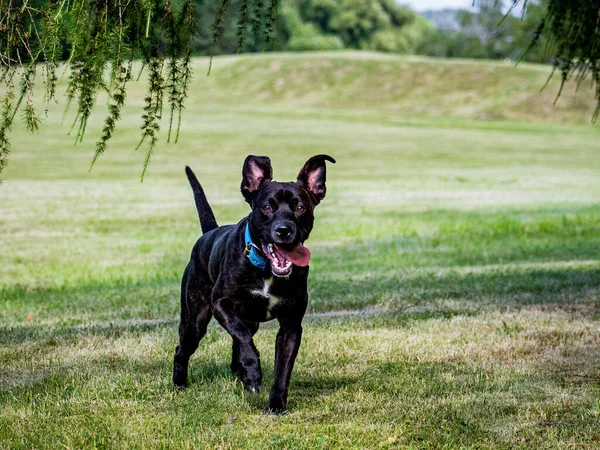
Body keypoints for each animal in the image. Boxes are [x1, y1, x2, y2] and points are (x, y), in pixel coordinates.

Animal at [171, 154, 336, 412]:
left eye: (300, 207)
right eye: (266, 207)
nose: (284, 230)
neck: (266, 269)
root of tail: (209, 233)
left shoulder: (291, 326)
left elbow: (282, 369)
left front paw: (276, 405)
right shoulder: (221, 304)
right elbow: (240, 334)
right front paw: (252, 370)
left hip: (250, 321)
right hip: (194, 321)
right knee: (183, 349)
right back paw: (180, 384)